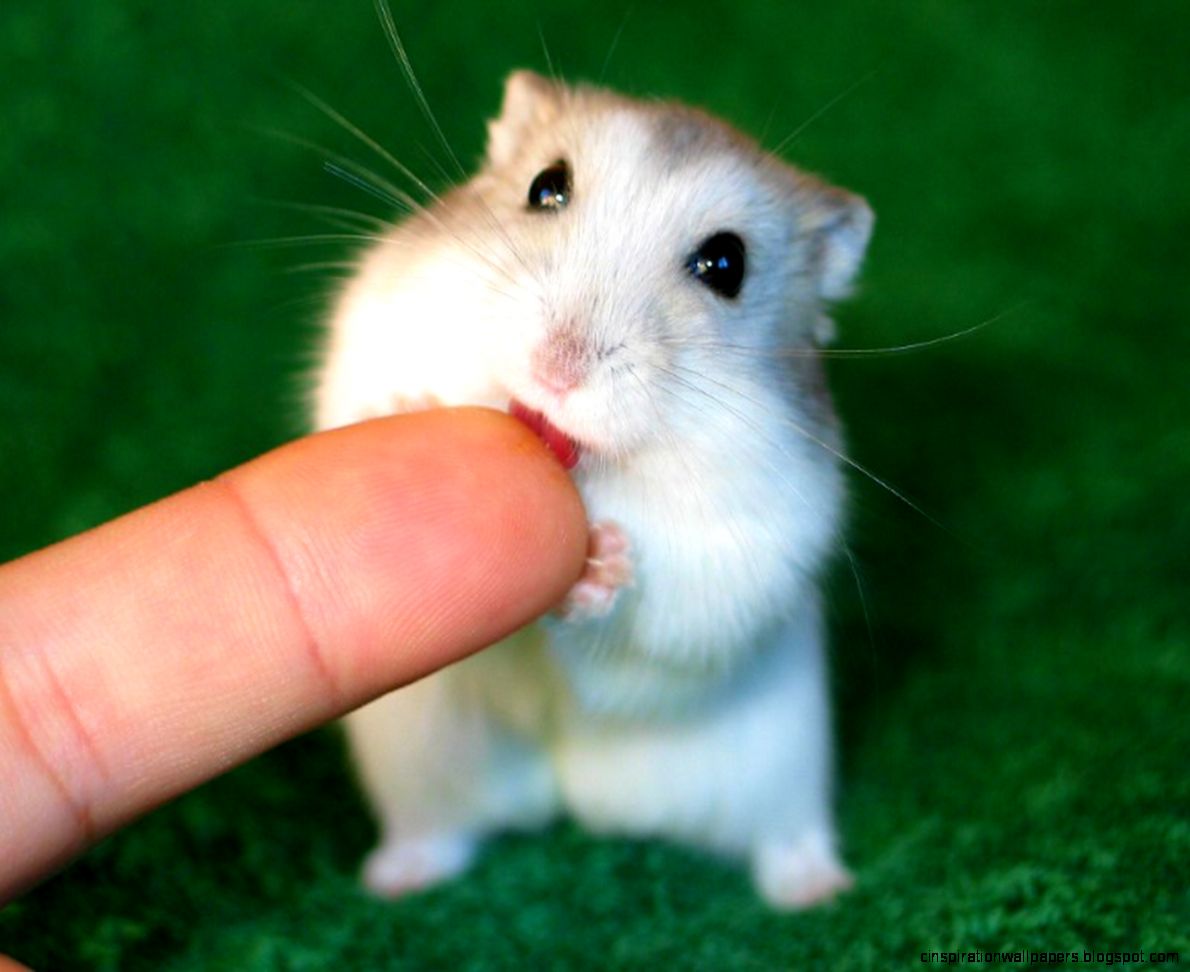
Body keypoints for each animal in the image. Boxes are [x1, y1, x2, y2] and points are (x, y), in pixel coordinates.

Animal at [313, 70, 873, 909]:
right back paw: (392, 881)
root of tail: (574, 798)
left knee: (784, 837)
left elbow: (655, 617)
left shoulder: (754, 548)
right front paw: (403, 410)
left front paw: (601, 563)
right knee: (440, 830)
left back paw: (820, 891)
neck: (590, 469)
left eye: (726, 265)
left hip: (782, 767)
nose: (556, 370)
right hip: (419, 759)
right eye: (546, 186)